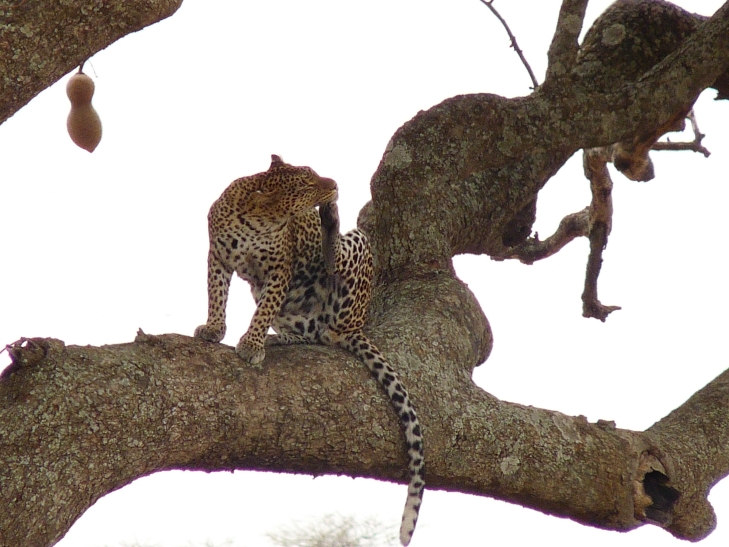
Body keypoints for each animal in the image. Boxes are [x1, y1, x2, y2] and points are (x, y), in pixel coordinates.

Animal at [194, 154, 424, 546]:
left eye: (314, 174)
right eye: (305, 185)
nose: (332, 184)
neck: (257, 218)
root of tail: (357, 324)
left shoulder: (278, 270)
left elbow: (264, 310)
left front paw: (251, 343)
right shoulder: (219, 257)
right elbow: (217, 294)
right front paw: (214, 329)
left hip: (354, 261)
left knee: (331, 303)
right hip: (295, 310)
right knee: (313, 333)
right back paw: (280, 338)